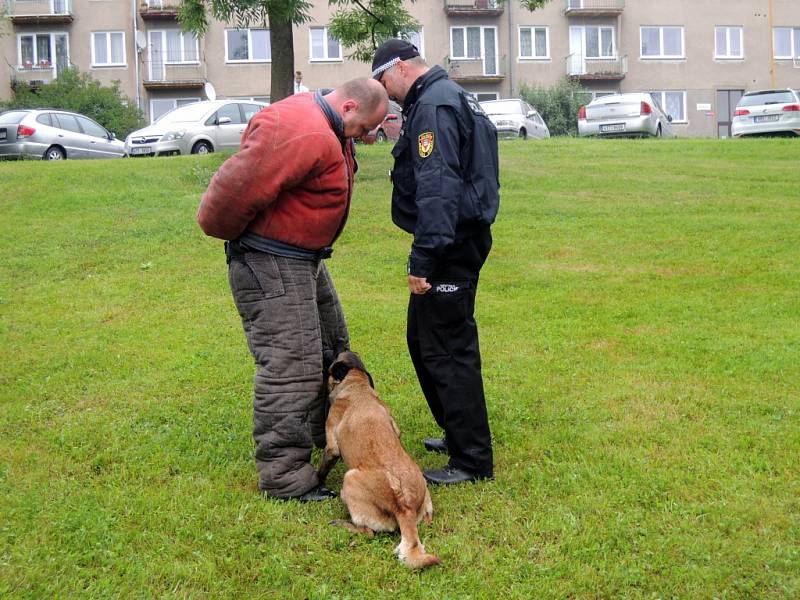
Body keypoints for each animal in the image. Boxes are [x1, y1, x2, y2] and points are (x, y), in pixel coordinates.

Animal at [318, 354, 444, 568]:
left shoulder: (332, 446)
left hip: (350, 479)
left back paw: (343, 525)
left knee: (368, 532)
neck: (358, 387)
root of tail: (405, 508)